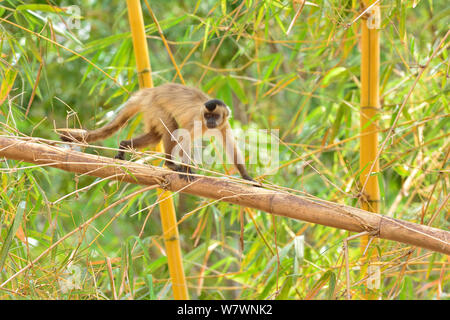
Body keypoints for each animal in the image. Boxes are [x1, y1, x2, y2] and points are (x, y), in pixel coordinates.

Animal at [57, 82, 253, 182]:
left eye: (215, 116)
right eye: (207, 116)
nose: (210, 121)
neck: (206, 123)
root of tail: (150, 91)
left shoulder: (224, 124)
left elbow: (231, 147)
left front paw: (246, 176)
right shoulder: (197, 120)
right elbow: (183, 137)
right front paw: (186, 169)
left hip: (150, 110)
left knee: (156, 135)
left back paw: (124, 146)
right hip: (155, 106)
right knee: (171, 128)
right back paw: (170, 164)